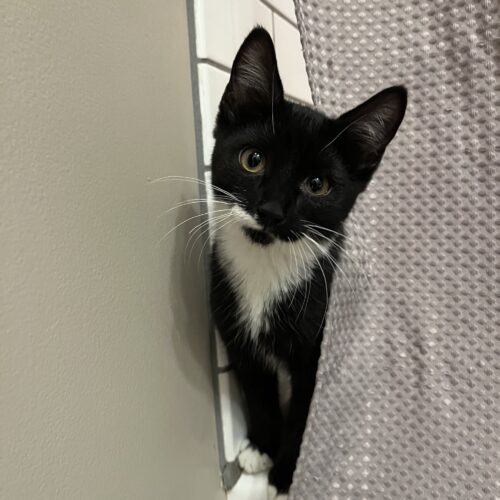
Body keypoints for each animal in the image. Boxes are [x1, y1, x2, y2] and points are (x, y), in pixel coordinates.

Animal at [209, 27, 406, 498]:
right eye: (253, 159)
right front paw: (262, 447)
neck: (266, 262)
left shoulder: (316, 355)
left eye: (317, 185)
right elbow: (258, 392)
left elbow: (302, 416)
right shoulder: (237, 336)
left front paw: (285, 476)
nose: (272, 210)